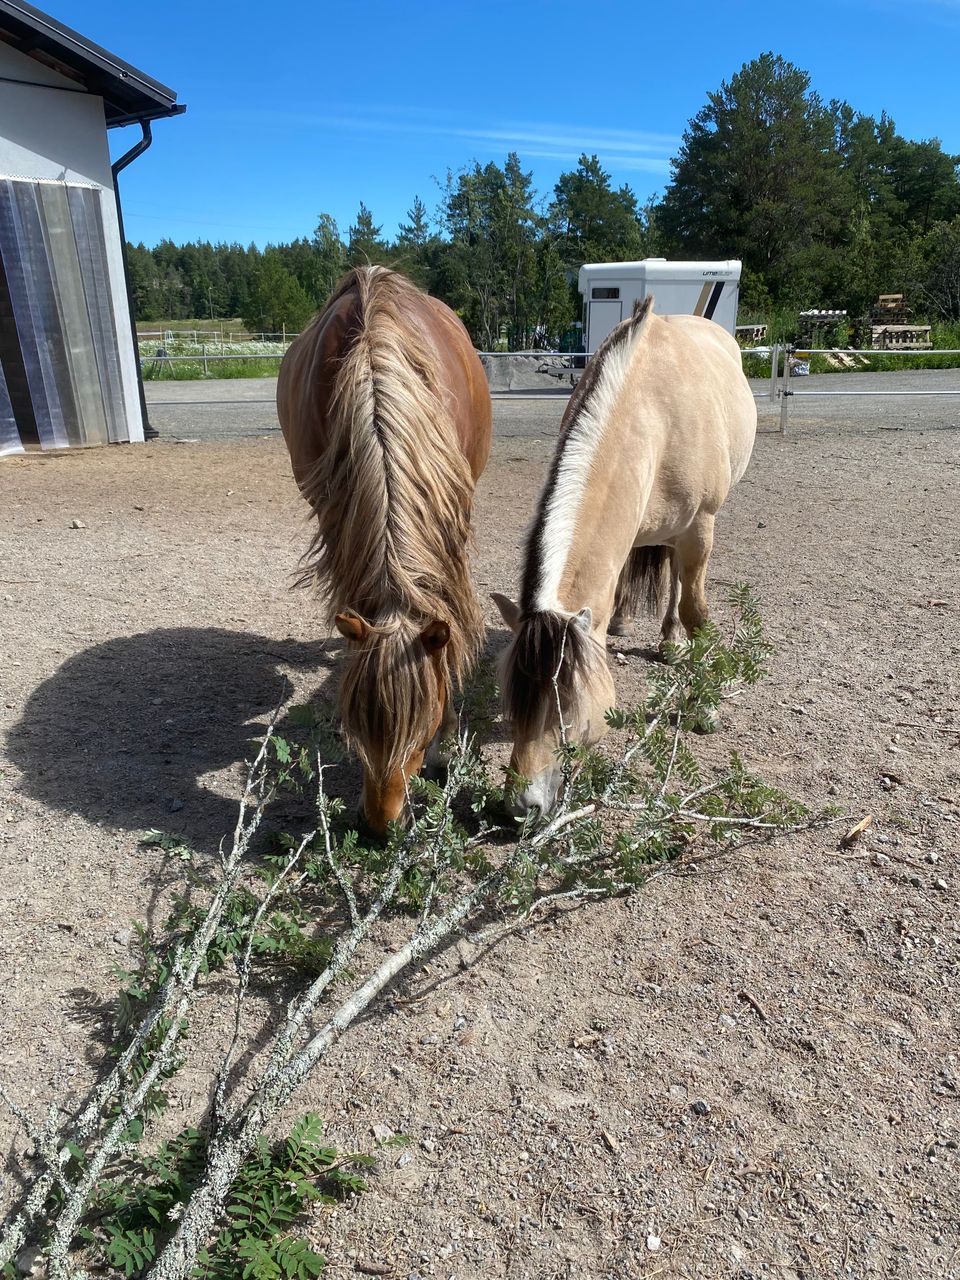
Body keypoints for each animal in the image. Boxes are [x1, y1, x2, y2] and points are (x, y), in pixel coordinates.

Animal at [496, 294, 757, 819]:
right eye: (515, 698)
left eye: (567, 705)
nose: (520, 805)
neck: (650, 412)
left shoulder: (700, 530)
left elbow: (696, 612)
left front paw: (706, 707)